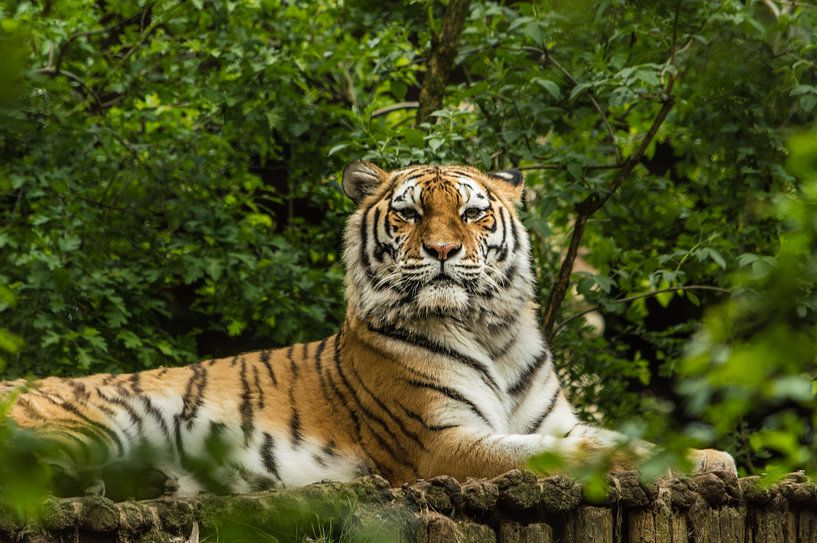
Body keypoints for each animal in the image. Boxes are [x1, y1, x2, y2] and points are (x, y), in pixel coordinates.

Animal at [0, 160, 736, 498]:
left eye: (472, 213)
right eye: (408, 214)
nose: (442, 250)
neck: (491, 331)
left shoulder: (552, 418)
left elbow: (617, 437)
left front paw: (711, 457)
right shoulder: (441, 441)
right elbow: (562, 454)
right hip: (86, 426)